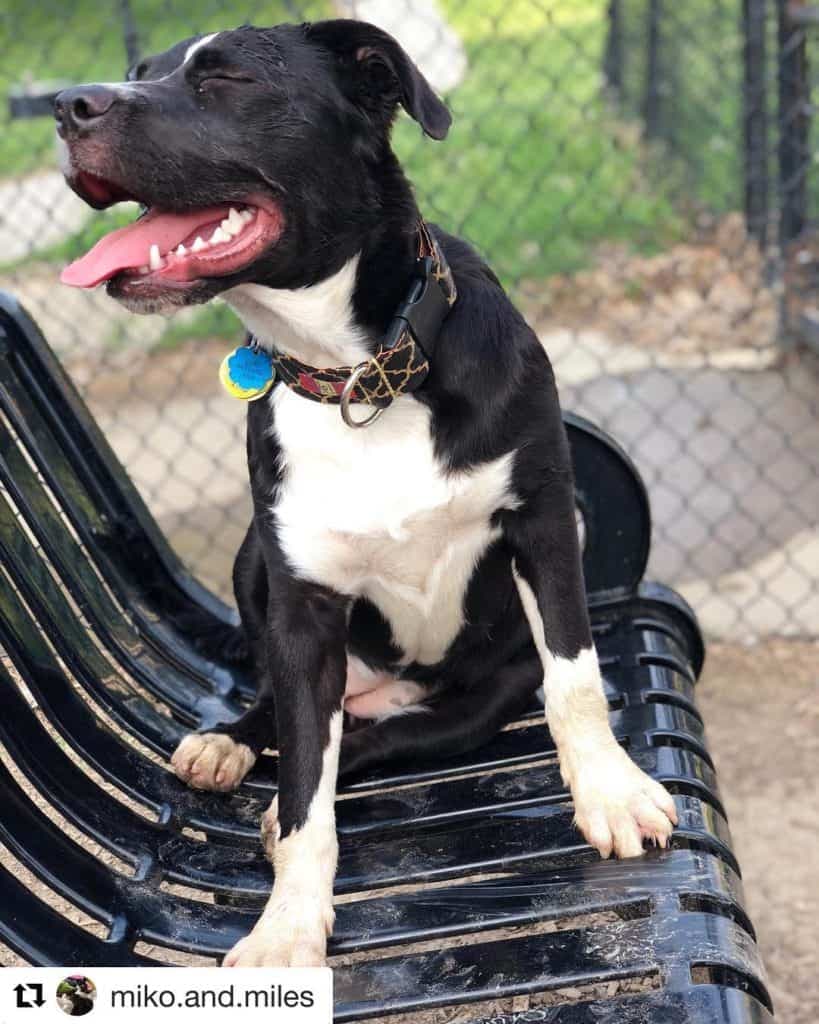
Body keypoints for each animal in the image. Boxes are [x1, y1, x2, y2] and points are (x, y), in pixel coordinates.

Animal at [54, 22, 675, 966]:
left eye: (225, 78)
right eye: (139, 75)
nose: (66, 105)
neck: (360, 376)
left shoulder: (541, 518)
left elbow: (574, 680)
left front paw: (611, 793)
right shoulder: (302, 601)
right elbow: (308, 789)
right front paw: (284, 928)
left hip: (478, 694)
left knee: (392, 733)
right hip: (254, 565)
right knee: (294, 727)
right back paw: (231, 745)